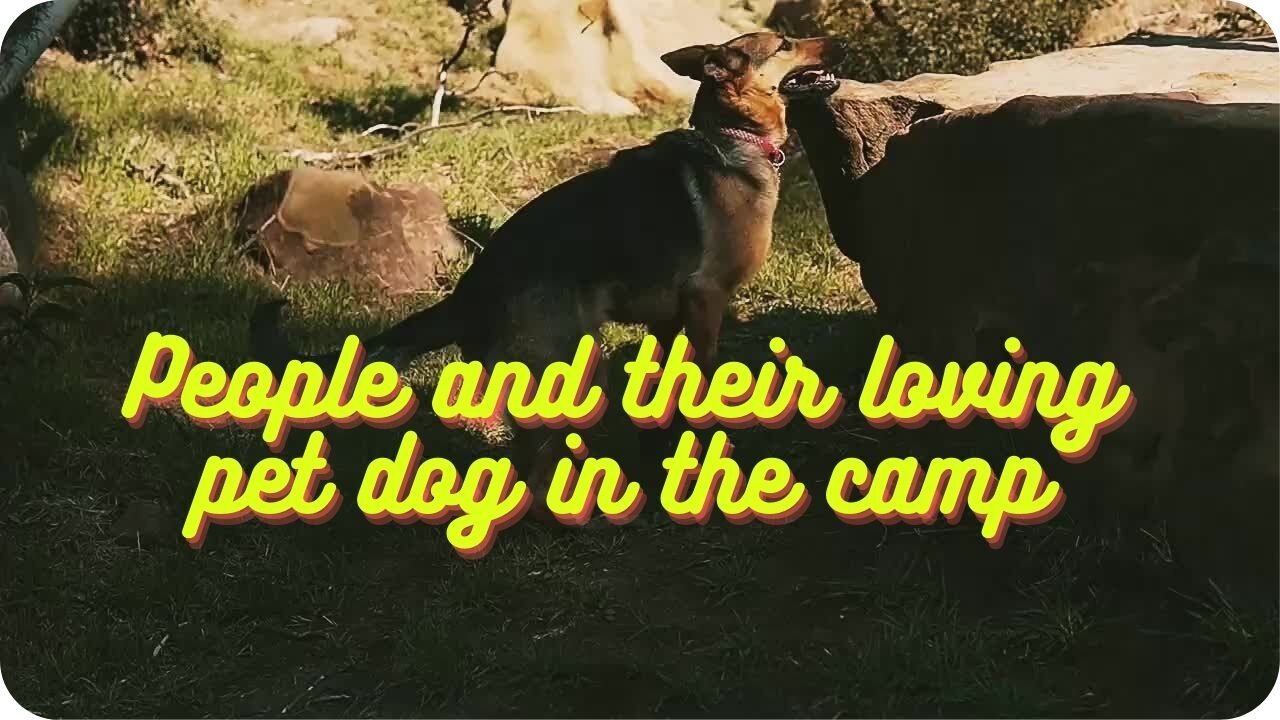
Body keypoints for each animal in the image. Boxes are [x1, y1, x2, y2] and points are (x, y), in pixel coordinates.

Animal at [253, 30, 844, 504]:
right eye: (786, 44)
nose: (834, 41)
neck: (731, 139)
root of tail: (470, 292)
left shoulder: (666, 319)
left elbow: (660, 398)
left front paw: (661, 457)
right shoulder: (705, 300)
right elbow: (698, 387)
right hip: (578, 367)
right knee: (530, 474)